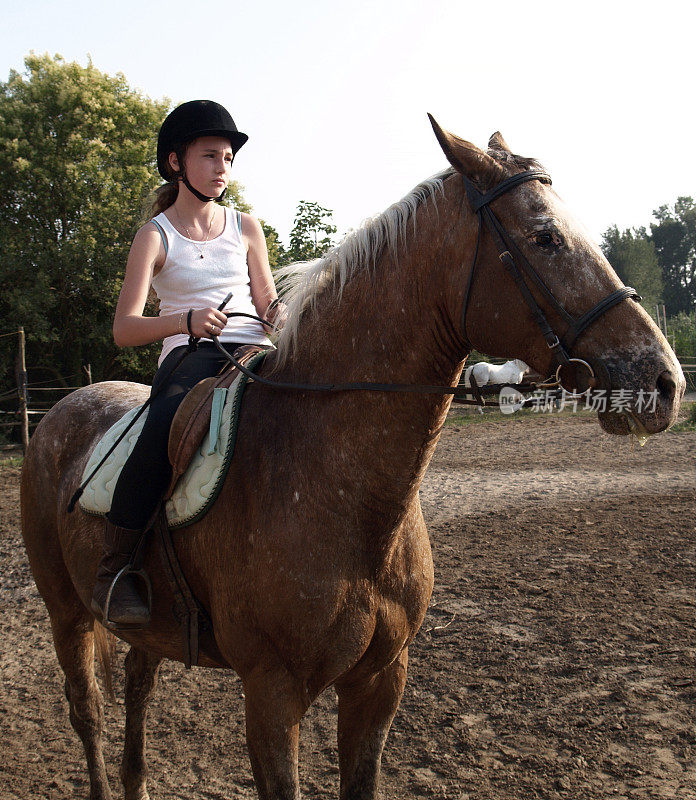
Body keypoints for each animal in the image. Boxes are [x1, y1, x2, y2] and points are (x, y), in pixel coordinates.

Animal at [19, 120, 684, 800]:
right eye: (545, 237)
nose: (662, 382)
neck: (340, 490)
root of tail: (61, 411)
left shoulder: (379, 681)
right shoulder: (271, 693)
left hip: (148, 627)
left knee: (137, 683)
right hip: (65, 612)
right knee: (87, 710)